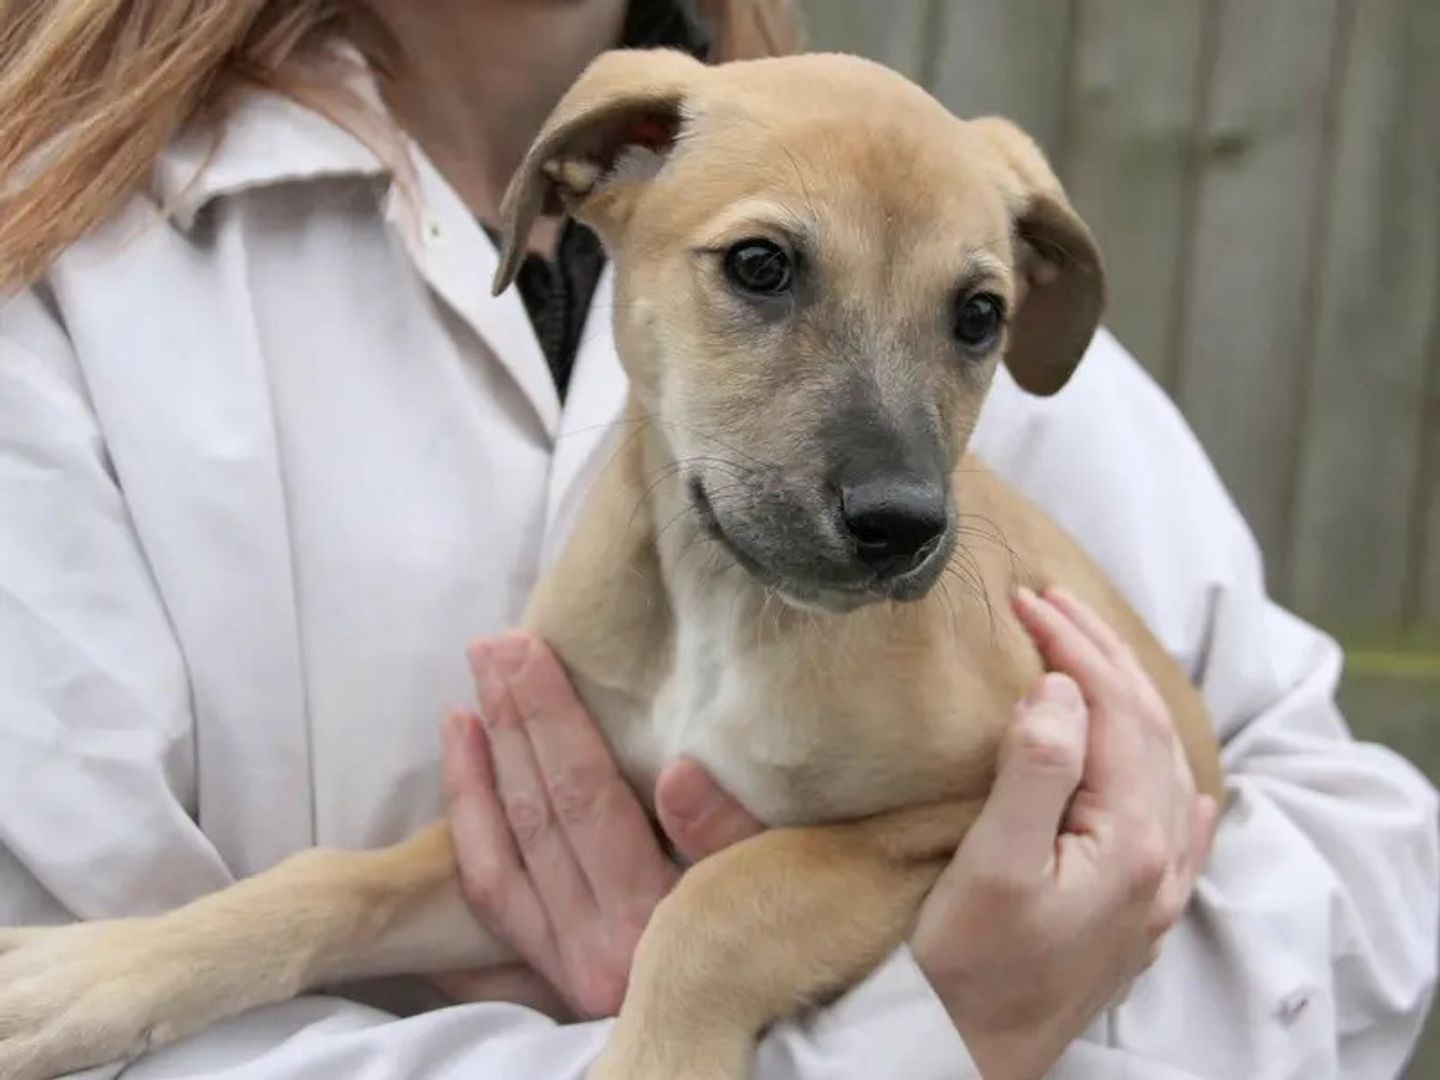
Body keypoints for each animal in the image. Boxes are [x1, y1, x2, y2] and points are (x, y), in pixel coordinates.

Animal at [0, 52, 1221, 1080]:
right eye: (761, 265)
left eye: (979, 316)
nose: (901, 526)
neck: (724, 608)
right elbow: (327, 879)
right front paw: (102, 971)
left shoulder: (947, 815)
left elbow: (721, 902)